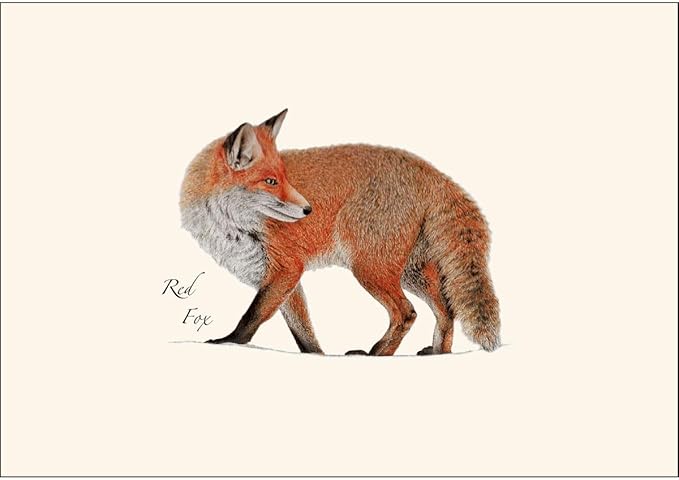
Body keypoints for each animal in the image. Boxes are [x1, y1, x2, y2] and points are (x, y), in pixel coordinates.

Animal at [180, 109, 500, 355]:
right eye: (271, 181)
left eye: (284, 178)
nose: (308, 210)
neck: (231, 226)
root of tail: (431, 172)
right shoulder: (282, 278)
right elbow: (303, 331)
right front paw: (316, 356)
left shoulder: (287, 267)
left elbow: (253, 315)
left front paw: (228, 342)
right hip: (410, 272)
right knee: (446, 310)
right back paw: (438, 352)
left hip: (370, 268)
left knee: (407, 313)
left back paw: (377, 355)